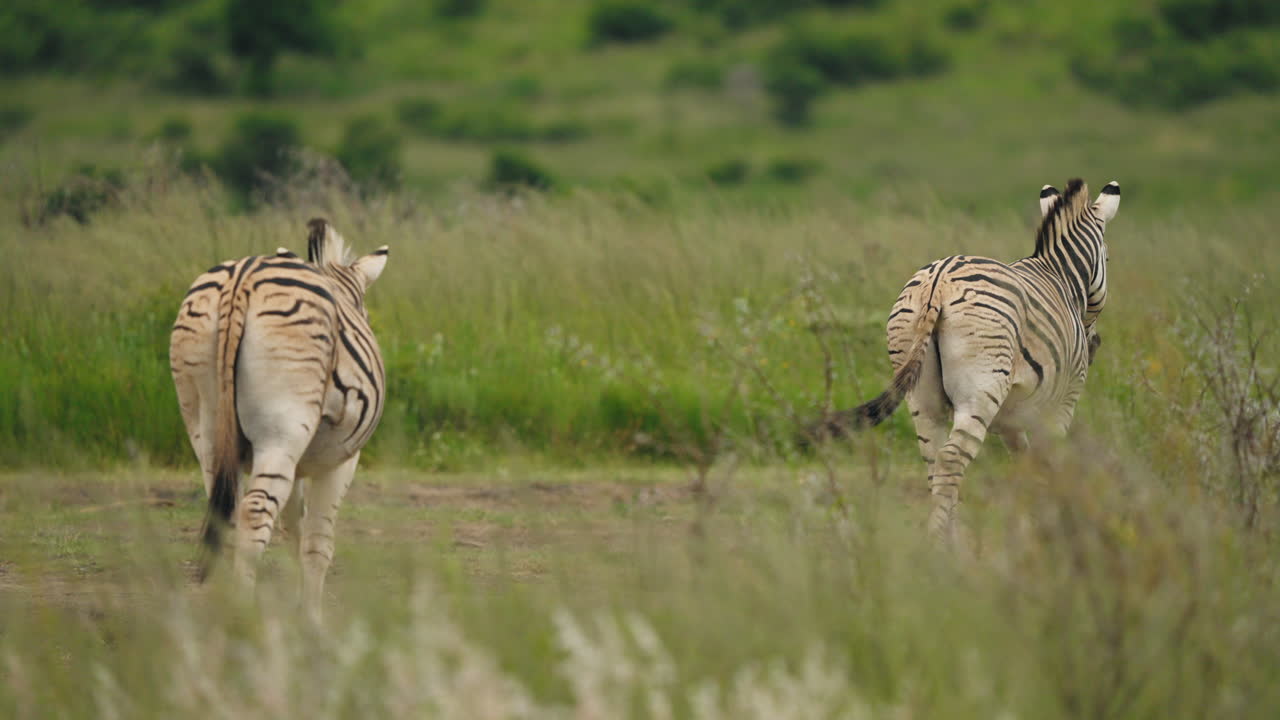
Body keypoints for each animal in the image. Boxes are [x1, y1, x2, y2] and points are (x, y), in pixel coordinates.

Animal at [170, 218, 389, 619]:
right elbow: (317, 541)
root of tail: (242, 276)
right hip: (281, 431)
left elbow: (294, 528)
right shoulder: (341, 461)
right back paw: (243, 613)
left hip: (203, 425)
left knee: (225, 513)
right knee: (254, 511)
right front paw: (312, 617)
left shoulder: (298, 465)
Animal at [820, 179, 1120, 545]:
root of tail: (937, 283)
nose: (1095, 345)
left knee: (934, 458)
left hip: (922, 392)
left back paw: (951, 540)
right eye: (1108, 257)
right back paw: (940, 540)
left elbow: (1025, 461)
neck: (1060, 277)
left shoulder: (1012, 418)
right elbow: (1049, 460)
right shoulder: (1062, 402)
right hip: (981, 388)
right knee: (951, 457)